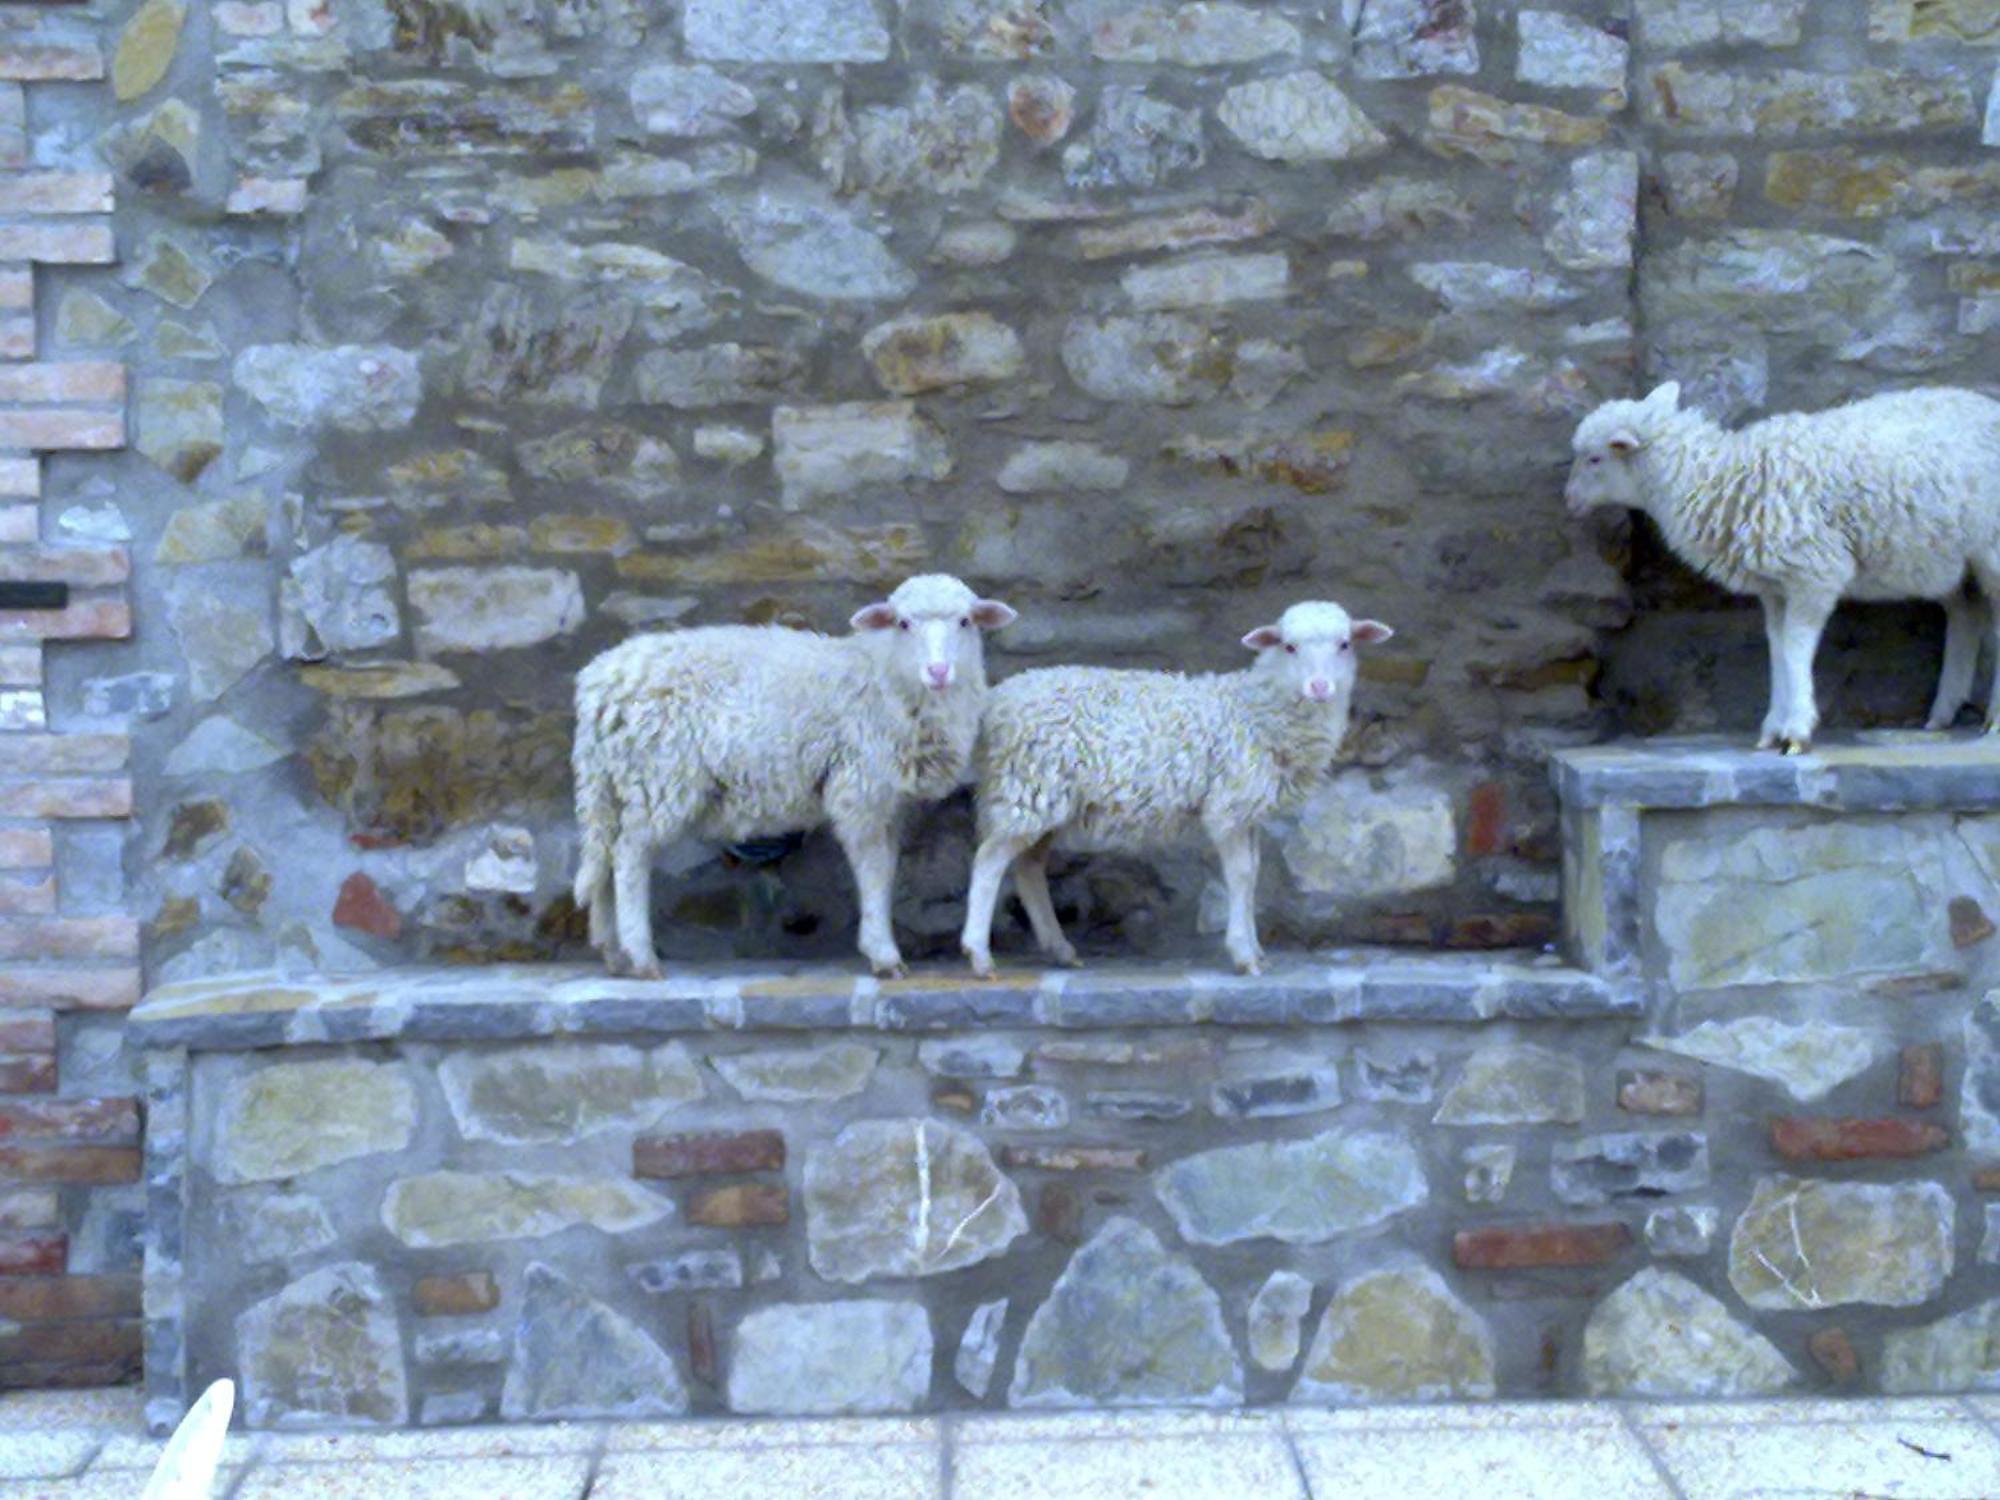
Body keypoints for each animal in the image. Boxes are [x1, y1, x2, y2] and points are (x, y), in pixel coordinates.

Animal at [576, 568, 1016, 980]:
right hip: (661, 777)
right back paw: (640, 956)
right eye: (903, 623)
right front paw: (884, 955)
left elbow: (888, 869)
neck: (886, 678)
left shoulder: (890, 801)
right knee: (629, 857)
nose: (939, 671)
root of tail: (599, 683)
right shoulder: (860, 791)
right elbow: (874, 871)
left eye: (965, 621)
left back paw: (613, 952)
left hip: (619, 782)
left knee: (606, 855)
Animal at [960, 604, 1400, 980]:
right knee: (989, 862)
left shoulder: (1250, 810)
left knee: (1028, 866)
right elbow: (1241, 875)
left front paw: (1257, 951)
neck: (1258, 710)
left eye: (1345, 644)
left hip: (1045, 798)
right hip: (1026, 788)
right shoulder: (1230, 805)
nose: (1321, 687)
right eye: (1289, 646)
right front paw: (1243, 954)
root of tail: (995, 702)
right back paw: (980, 955)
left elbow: (1254, 875)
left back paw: (1059, 949)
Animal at [1560, 382, 2000, 756]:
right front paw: (1773, 728)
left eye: (1595, 458)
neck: (1721, 479)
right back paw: (1943, 711)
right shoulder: (1775, 587)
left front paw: (1797, 731)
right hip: (1946, 558)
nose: (1568, 501)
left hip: (1990, 548)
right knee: (1967, 613)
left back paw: (1992, 720)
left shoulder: (1816, 572)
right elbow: (1777, 647)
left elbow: (1796, 646)